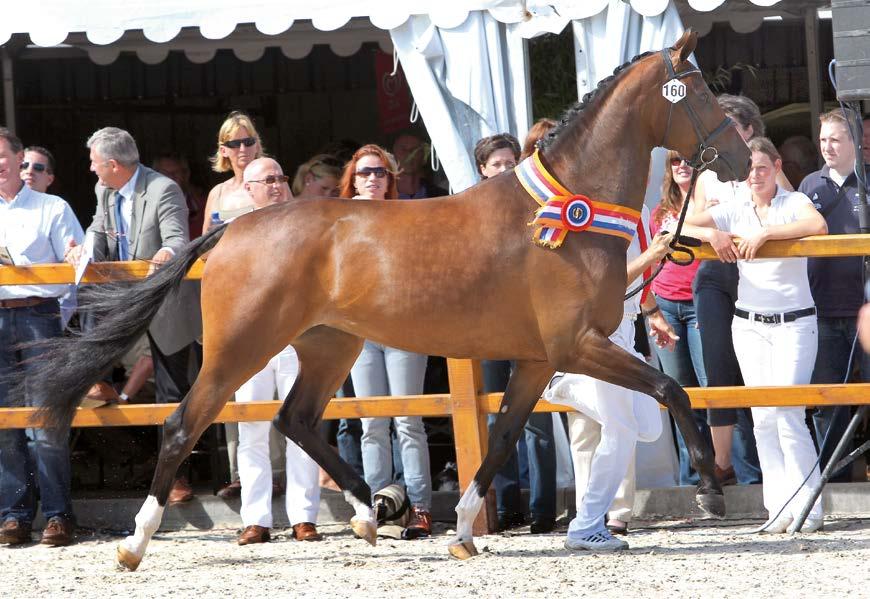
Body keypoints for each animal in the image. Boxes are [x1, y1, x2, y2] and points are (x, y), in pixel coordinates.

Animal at [27, 29, 748, 572]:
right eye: (698, 90)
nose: (741, 157)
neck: (566, 212)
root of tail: (232, 227)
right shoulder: (576, 346)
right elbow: (672, 389)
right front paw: (711, 495)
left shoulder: (540, 359)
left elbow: (503, 436)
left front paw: (464, 530)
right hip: (241, 348)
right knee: (184, 424)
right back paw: (134, 542)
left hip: (330, 344)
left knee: (296, 419)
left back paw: (371, 511)